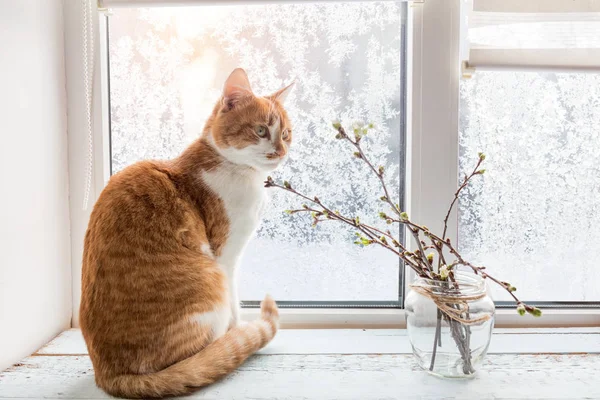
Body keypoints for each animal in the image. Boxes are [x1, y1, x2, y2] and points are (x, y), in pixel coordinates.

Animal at [79, 69, 296, 396]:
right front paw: (238, 332)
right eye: (261, 130)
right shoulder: (226, 256)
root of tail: (109, 373)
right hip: (211, 282)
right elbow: (235, 305)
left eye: (285, 134)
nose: (280, 151)